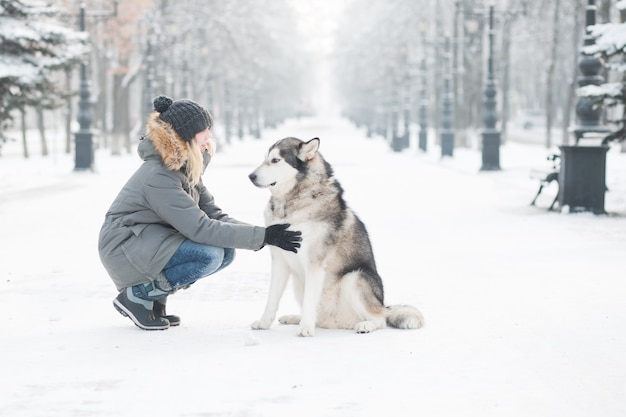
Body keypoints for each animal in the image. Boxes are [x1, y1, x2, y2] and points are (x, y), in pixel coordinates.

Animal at [246, 136, 422, 334]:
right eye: (265, 159)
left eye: (275, 160)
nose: (251, 176)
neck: (291, 203)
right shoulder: (280, 260)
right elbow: (272, 299)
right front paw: (264, 323)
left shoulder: (314, 262)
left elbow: (309, 300)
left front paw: (306, 329)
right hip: (299, 283)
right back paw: (295, 318)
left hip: (355, 278)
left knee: (380, 319)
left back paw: (365, 325)